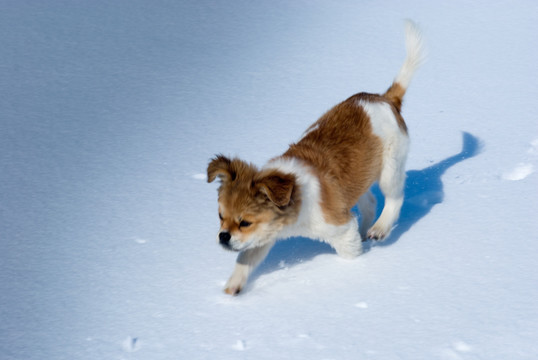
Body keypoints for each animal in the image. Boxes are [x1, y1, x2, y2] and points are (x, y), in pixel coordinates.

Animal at [207, 20, 420, 296]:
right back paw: (367, 228)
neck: (294, 193)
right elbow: (245, 259)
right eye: (220, 216)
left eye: (244, 222)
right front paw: (231, 290)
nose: (223, 236)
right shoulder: (264, 236)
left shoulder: (340, 227)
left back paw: (380, 228)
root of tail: (385, 98)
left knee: (394, 198)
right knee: (370, 201)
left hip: (390, 168)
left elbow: (350, 252)